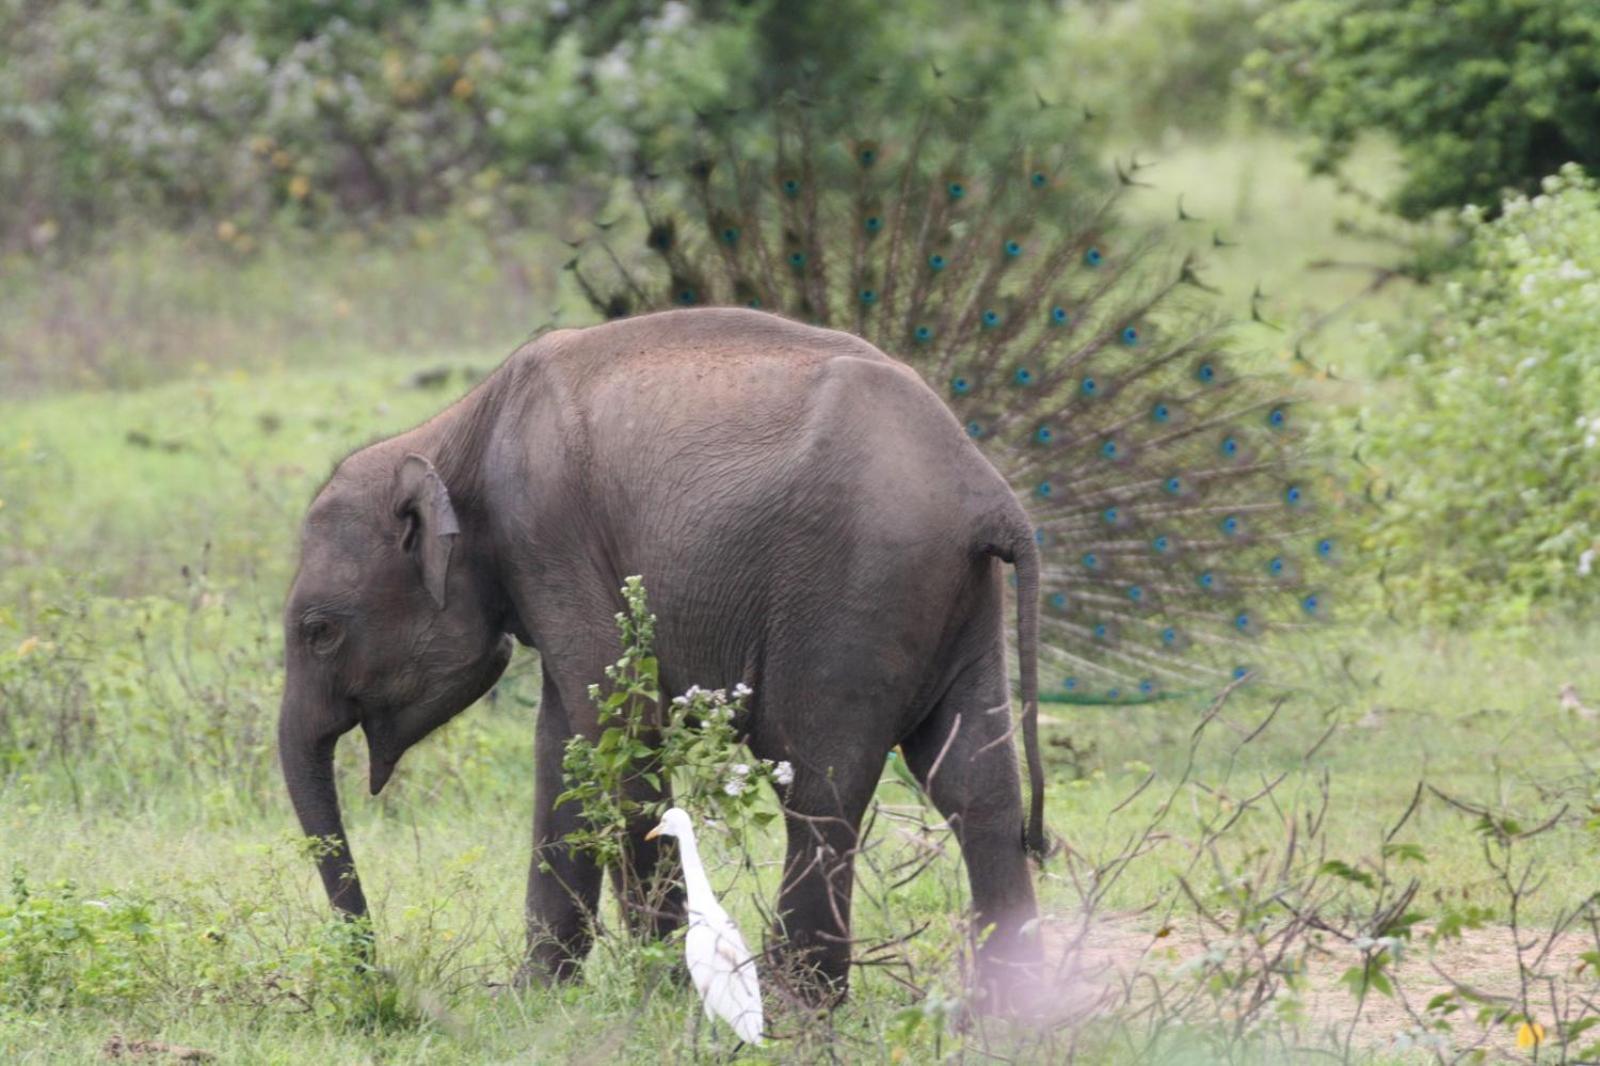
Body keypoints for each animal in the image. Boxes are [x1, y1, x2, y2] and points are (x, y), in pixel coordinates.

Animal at [275, 302, 1049, 998]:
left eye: (319, 630)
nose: (376, 975)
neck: (454, 430)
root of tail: (992, 495)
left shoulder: (548, 536)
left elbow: (616, 730)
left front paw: (668, 991)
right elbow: (565, 745)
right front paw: (532, 995)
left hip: (857, 588)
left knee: (821, 784)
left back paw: (796, 1007)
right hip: (960, 599)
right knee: (975, 784)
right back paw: (1011, 1014)